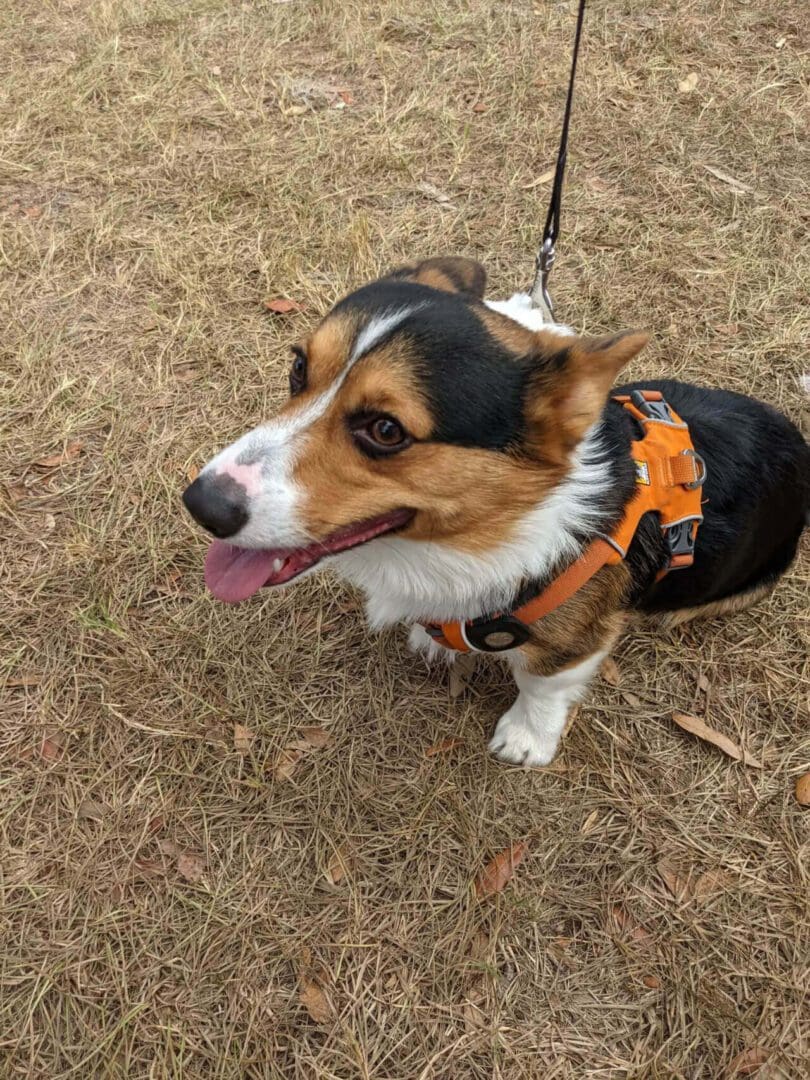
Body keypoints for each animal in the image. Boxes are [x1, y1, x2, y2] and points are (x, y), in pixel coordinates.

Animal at [183, 259, 810, 768]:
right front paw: (437, 639)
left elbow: (542, 685)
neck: (480, 532)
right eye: (297, 369)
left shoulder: (574, 642)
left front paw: (526, 740)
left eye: (385, 430)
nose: (201, 505)